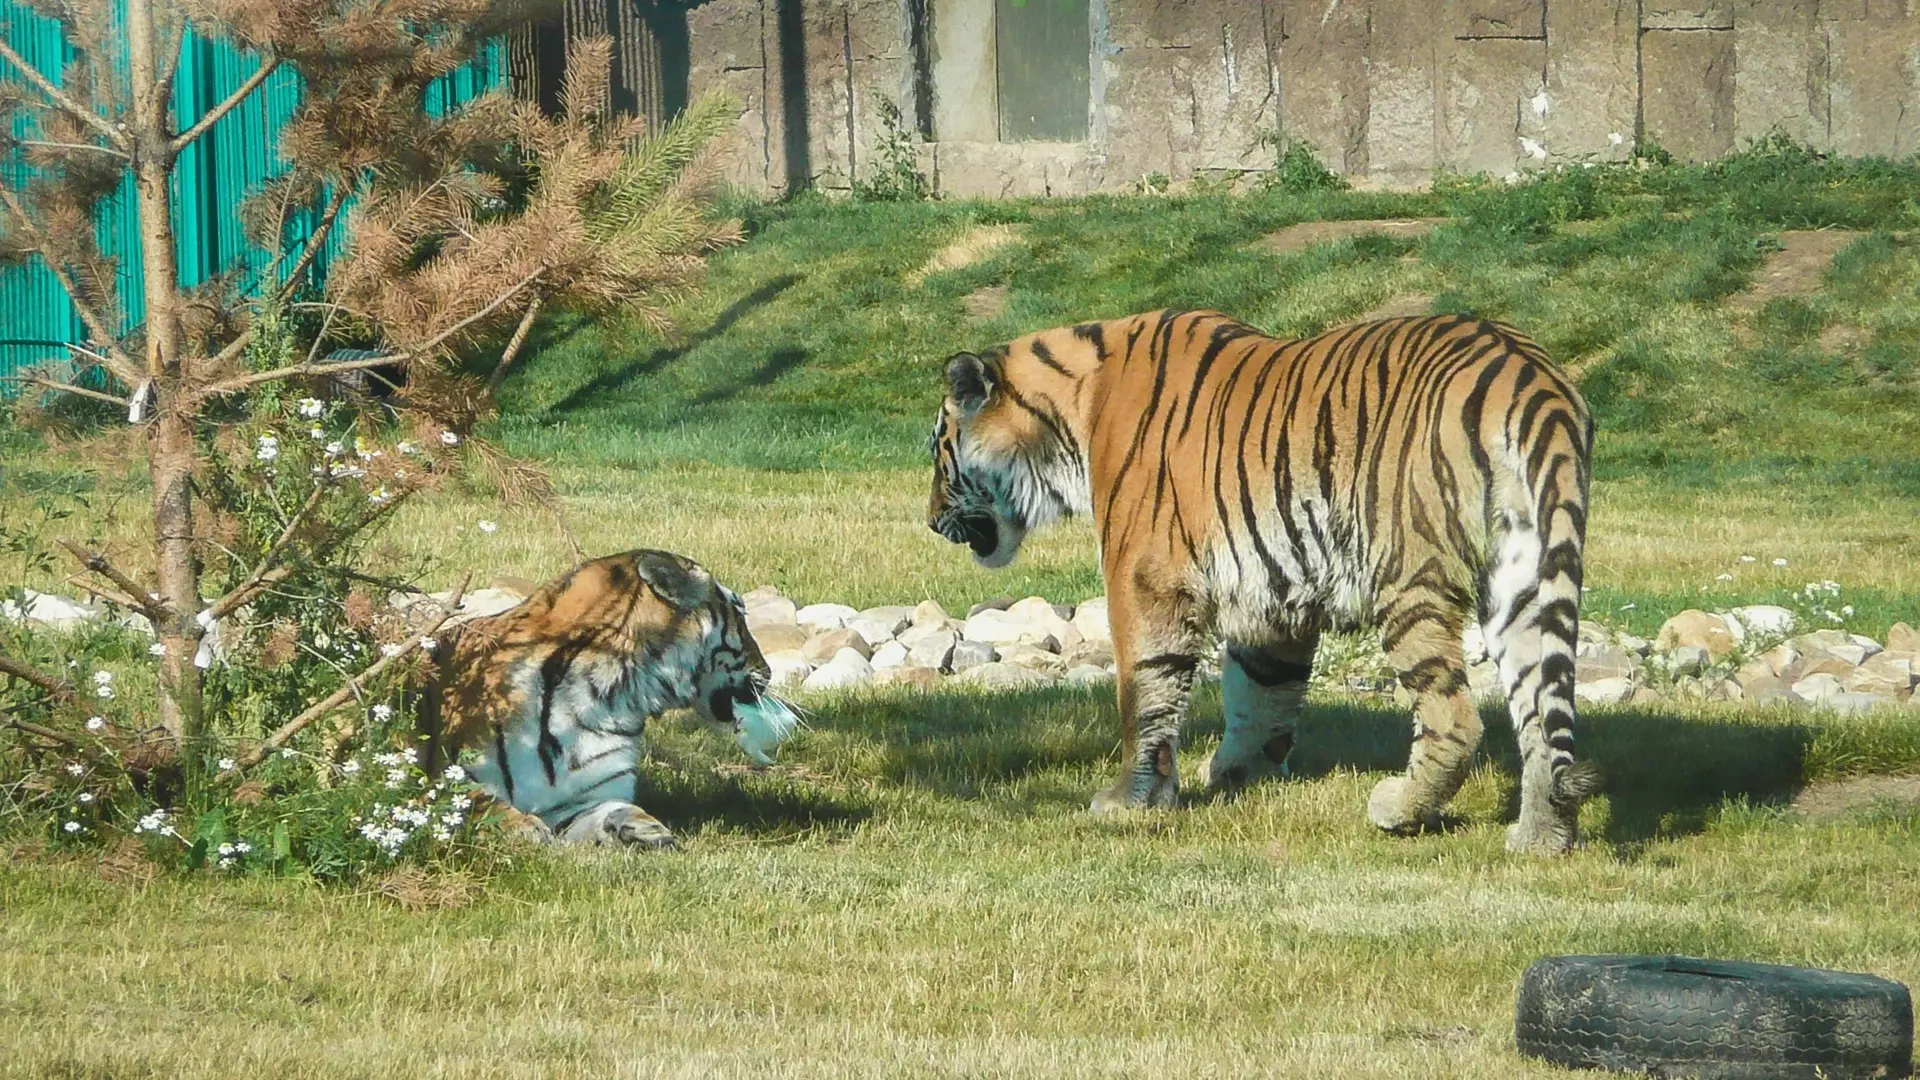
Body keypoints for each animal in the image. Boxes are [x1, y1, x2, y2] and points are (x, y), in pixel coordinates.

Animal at [420, 549, 794, 845]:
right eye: (740, 616)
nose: (768, 672)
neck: (605, 697)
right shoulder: (444, 775)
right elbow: (476, 801)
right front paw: (521, 828)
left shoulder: (584, 800)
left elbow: (622, 809)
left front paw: (646, 829)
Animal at [929, 307, 1605, 853]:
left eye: (939, 451)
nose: (932, 520)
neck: (1068, 417)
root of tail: (1529, 374)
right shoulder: (1273, 589)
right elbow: (1261, 689)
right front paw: (1236, 774)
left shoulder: (1144, 573)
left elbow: (1145, 691)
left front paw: (1130, 799)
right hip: (1526, 573)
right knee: (1542, 715)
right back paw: (1541, 836)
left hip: (1407, 572)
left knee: (1457, 718)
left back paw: (1399, 810)